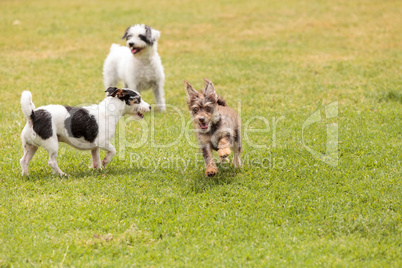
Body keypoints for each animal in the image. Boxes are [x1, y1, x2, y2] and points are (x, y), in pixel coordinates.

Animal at [20, 87, 151, 177]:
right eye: (138, 100)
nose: (150, 107)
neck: (109, 111)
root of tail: (33, 115)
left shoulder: (95, 147)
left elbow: (96, 160)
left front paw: (97, 169)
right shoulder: (102, 142)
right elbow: (113, 150)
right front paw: (105, 161)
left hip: (31, 146)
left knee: (24, 160)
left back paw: (26, 175)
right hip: (52, 144)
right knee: (51, 162)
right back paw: (62, 174)